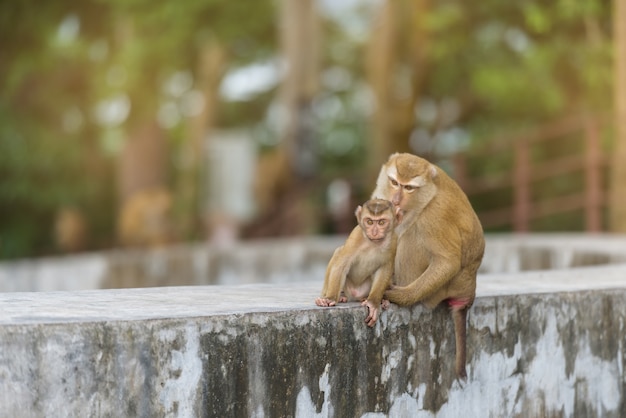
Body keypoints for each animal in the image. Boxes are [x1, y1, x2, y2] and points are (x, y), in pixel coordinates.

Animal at [314, 198, 398, 328]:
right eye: (369, 221)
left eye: (381, 222)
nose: (374, 232)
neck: (373, 243)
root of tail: (355, 294)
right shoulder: (355, 236)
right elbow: (341, 265)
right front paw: (329, 299)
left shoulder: (394, 240)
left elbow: (385, 269)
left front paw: (373, 303)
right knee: (339, 251)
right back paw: (339, 296)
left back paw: (377, 300)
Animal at [370, 153, 482, 378]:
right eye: (394, 183)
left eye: (409, 188)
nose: (395, 200)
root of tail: (468, 292)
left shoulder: (435, 215)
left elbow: (448, 261)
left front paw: (398, 297)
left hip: (437, 291)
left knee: (411, 235)